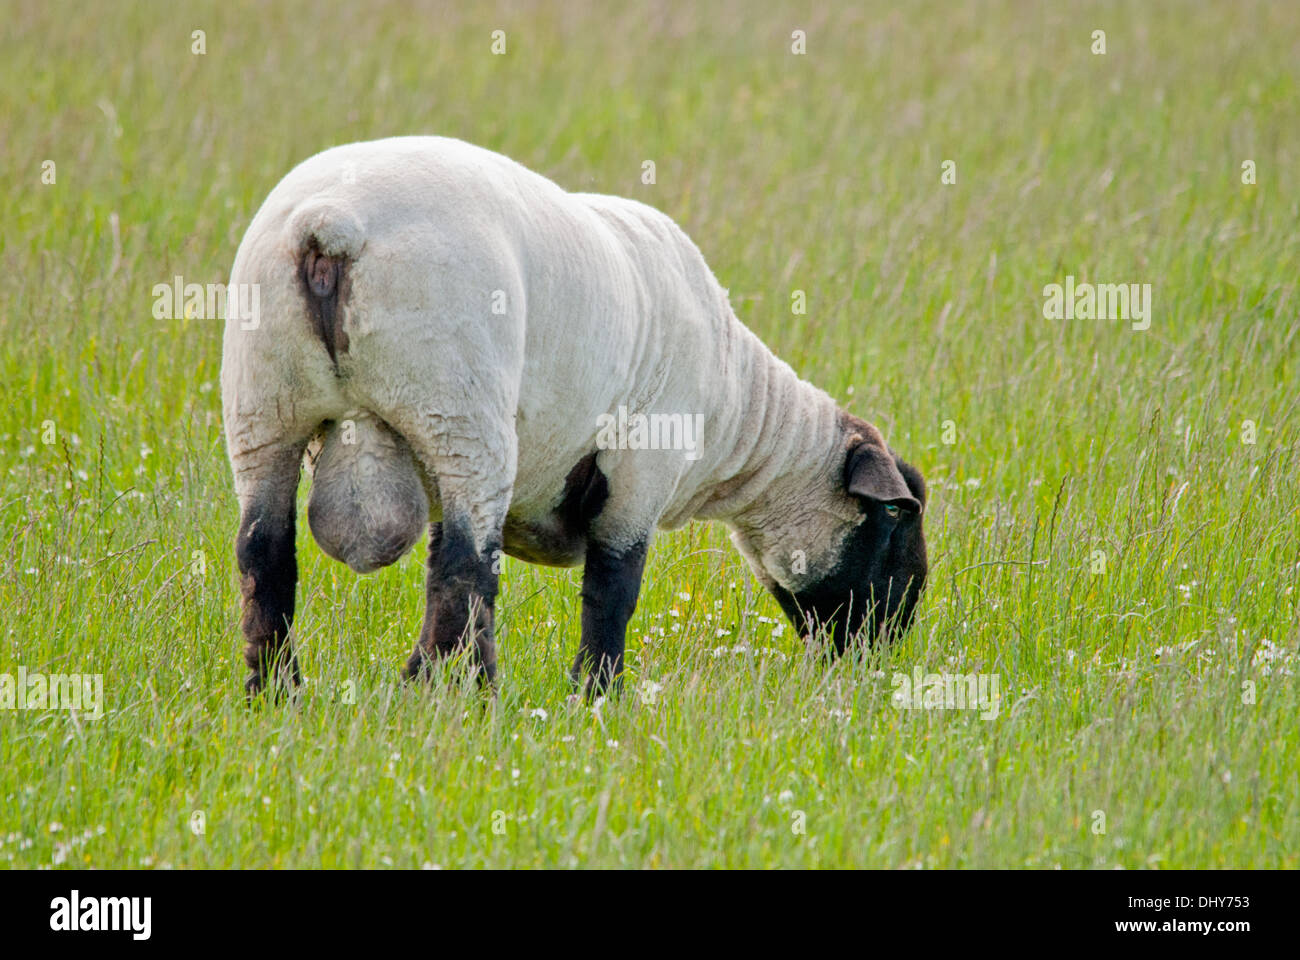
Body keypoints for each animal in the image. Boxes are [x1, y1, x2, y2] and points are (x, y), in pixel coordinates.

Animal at [220, 134, 925, 697]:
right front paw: (597, 695)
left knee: (265, 557)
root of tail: (331, 222)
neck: (737, 413)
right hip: (460, 416)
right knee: (464, 570)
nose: (880, 650)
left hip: (262, 410)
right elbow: (613, 589)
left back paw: (276, 695)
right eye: (895, 519)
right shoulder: (642, 469)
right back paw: (462, 698)